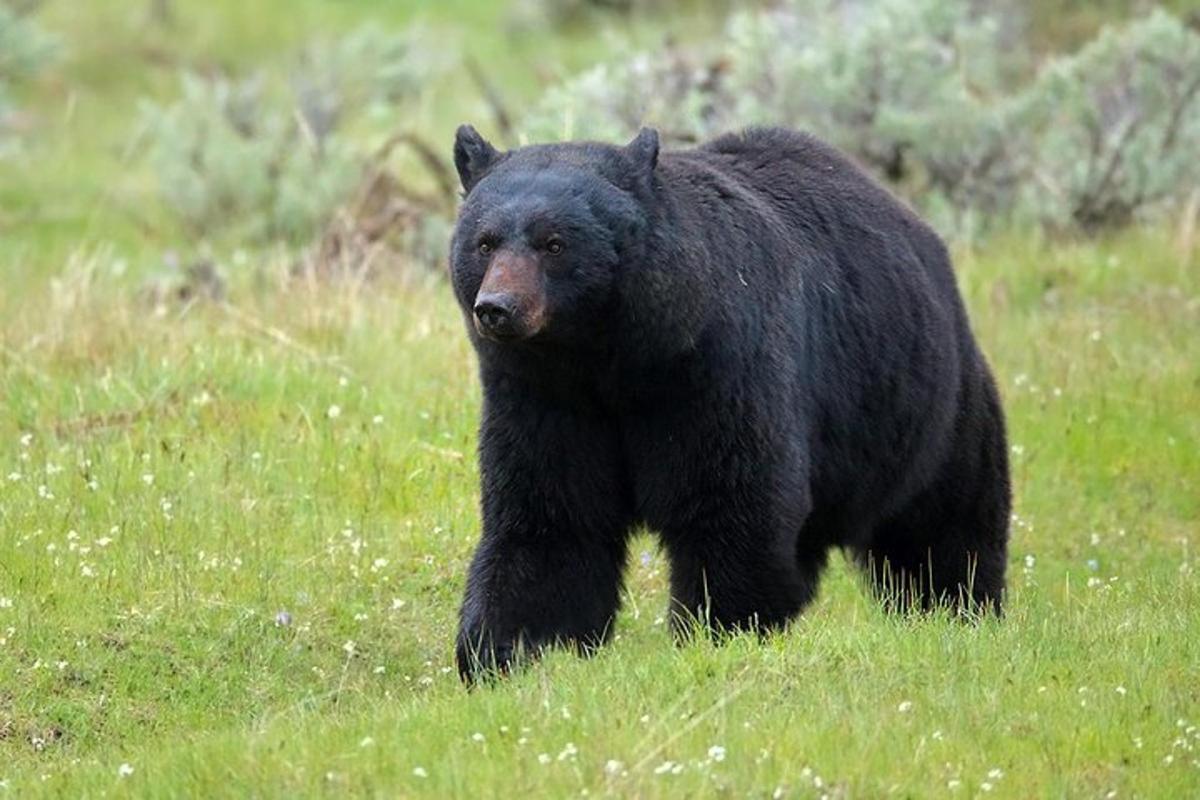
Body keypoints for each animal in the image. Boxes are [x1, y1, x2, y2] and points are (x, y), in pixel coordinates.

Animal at [451, 125, 1012, 681]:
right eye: (485, 242)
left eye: (554, 243)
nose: (497, 308)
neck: (615, 363)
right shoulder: (545, 400)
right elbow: (551, 520)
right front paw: (502, 649)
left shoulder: (717, 371)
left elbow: (731, 501)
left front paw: (718, 629)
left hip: (925, 410)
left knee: (944, 524)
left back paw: (956, 608)